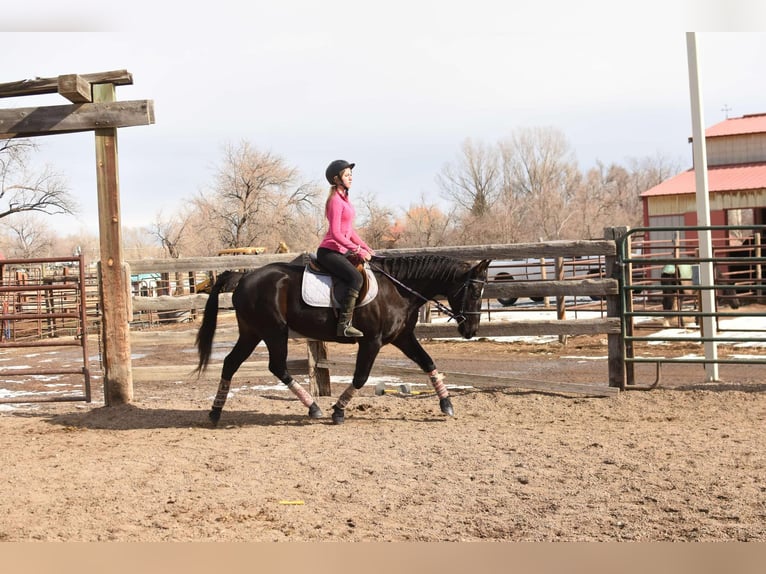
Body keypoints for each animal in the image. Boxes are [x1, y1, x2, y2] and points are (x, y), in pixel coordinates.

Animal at [196, 256, 492, 428]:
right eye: (474, 290)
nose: (471, 330)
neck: (398, 290)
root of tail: (244, 276)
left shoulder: (402, 338)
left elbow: (428, 362)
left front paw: (447, 404)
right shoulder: (371, 342)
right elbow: (361, 377)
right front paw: (338, 410)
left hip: (252, 332)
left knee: (231, 363)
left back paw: (215, 412)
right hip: (273, 331)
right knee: (276, 367)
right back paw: (314, 407)